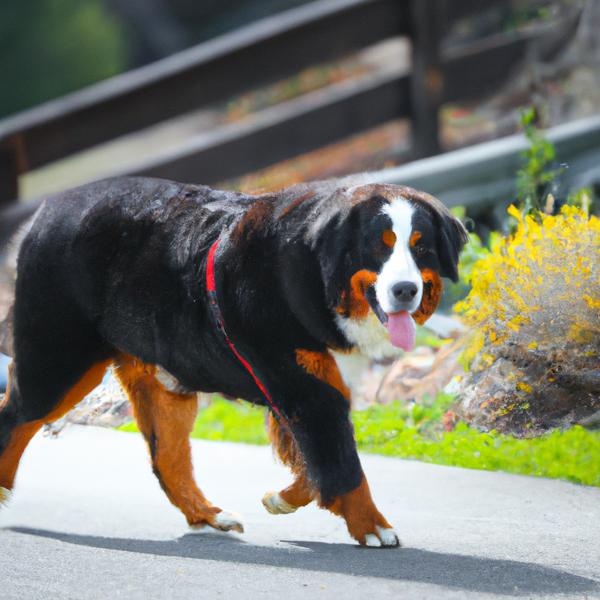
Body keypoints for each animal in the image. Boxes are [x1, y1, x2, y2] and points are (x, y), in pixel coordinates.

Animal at [0, 176, 468, 548]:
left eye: (421, 246)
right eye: (377, 246)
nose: (405, 289)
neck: (315, 280)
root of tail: (45, 211)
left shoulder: (313, 387)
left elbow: (317, 464)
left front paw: (283, 499)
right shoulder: (304, 389)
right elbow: (342, 466)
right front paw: (373, 527)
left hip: (166, 386)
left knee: (167, 458)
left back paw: (209, 516)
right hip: (57, 366)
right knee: (16, 417)